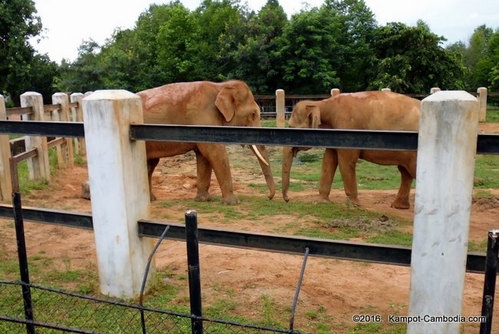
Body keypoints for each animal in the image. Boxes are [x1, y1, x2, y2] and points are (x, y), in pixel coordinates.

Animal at [138, 80, 278, 204]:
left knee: (150, 164)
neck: (220, 86)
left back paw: (151, 200)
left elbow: (204, 157)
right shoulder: (203, 116)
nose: (268, 197)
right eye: (253, 114)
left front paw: (203, 200)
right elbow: (215, 153)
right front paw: (233, 203)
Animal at [282, 90, 422, 209]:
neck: (323, 103)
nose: (288, 199)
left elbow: (346, 162)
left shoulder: (347, 129)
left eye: (291, 127)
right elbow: (328, 160)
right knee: (405, 172)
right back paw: (398, 206)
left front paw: (355, 205)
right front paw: (321, 202)